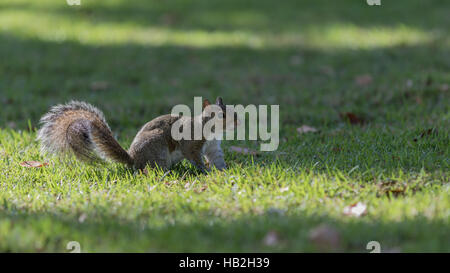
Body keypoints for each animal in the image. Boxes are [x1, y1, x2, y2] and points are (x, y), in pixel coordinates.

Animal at [37, 96, 237, 171]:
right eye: (222, 115)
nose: (238, 122)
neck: (212, 131)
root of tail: (133, 159)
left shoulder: (213, 147)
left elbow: (217, 159)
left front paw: (223, 171)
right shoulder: (191, 143)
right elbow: (194, 156)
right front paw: (205, 170)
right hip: (157, 148)